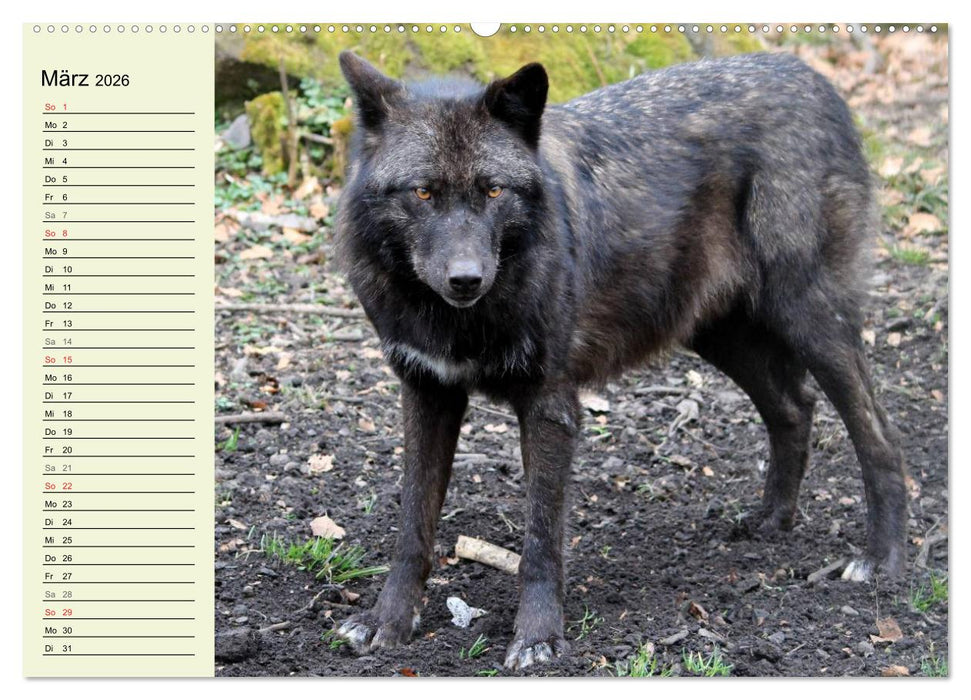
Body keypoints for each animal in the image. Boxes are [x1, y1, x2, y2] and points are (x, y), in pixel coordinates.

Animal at [333, 50, 907, 670]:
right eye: (421, 193)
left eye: (492, 192)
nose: (466, 278)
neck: (461, 320)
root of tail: (813, 77)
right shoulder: (427, 392)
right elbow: (412, 525)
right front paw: (388, 621)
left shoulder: (551, 406)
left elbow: (540, 540)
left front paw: (538, 638)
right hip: (716, 333)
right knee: (794, 407)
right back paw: (772, 521)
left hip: (811, 320)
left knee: (879, 434)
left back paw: (882, 560)